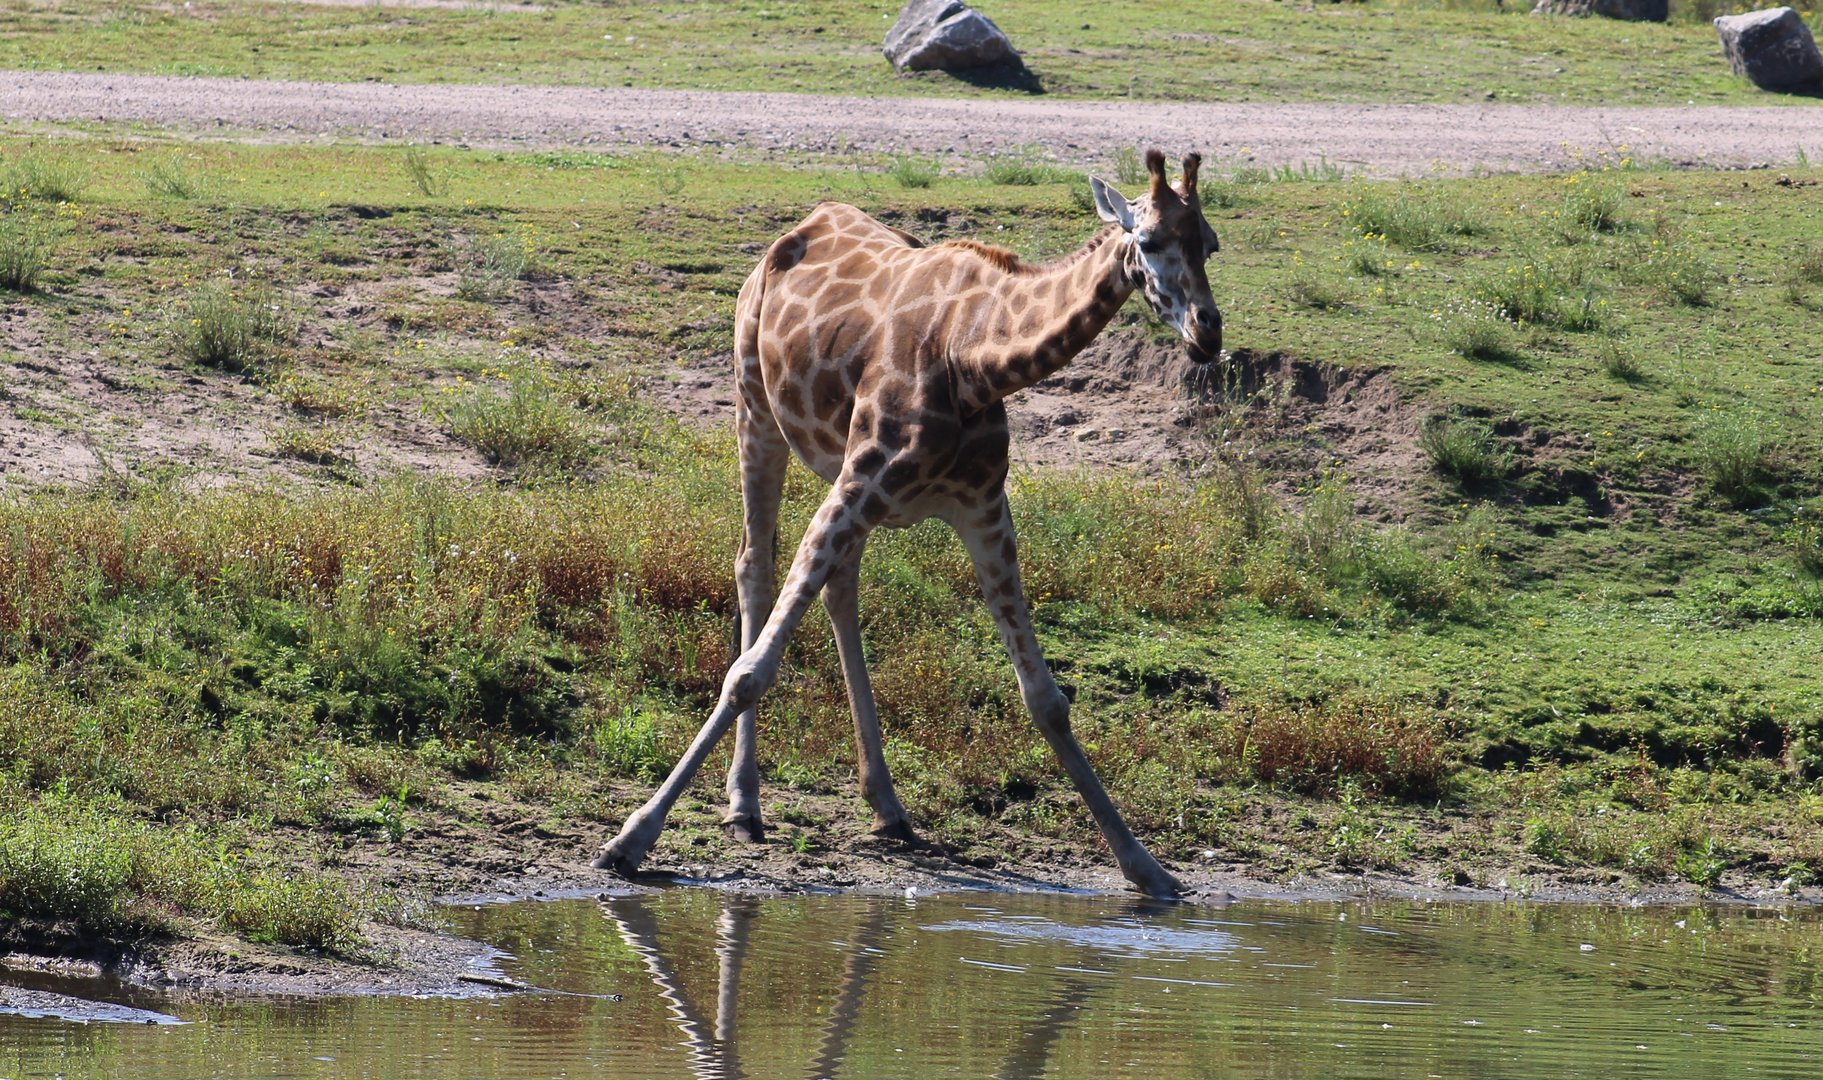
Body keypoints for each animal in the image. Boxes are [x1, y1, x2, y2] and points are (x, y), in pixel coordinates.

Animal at [594, 149, 1223, 898]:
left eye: (1210, 243)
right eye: (1150, 241)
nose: (1207, 333)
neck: (975, 360)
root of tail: (802, 223)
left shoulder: (983, 511)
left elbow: (1045, 698)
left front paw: (1146, 868)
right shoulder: (862, 479)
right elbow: (750, 671)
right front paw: (631, 837)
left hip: (834, 468)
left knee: (839, 588)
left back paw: (886, 805)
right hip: (756, 408)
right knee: (755, 563)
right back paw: (744, 803)